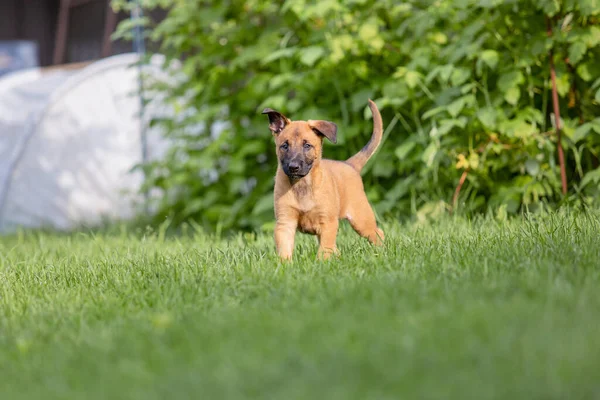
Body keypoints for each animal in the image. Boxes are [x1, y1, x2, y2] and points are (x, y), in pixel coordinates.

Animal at [262, 98, 384, 258]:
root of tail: (349, 164)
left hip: (361, 220)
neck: (302, 185)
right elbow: (285, 250)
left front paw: (322, 262)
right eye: (284, 146)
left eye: (307, 145)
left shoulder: (328, 223)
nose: (293, 167)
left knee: (378, 233)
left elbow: (325, 250)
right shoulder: (285, 223)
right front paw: (284, 264)